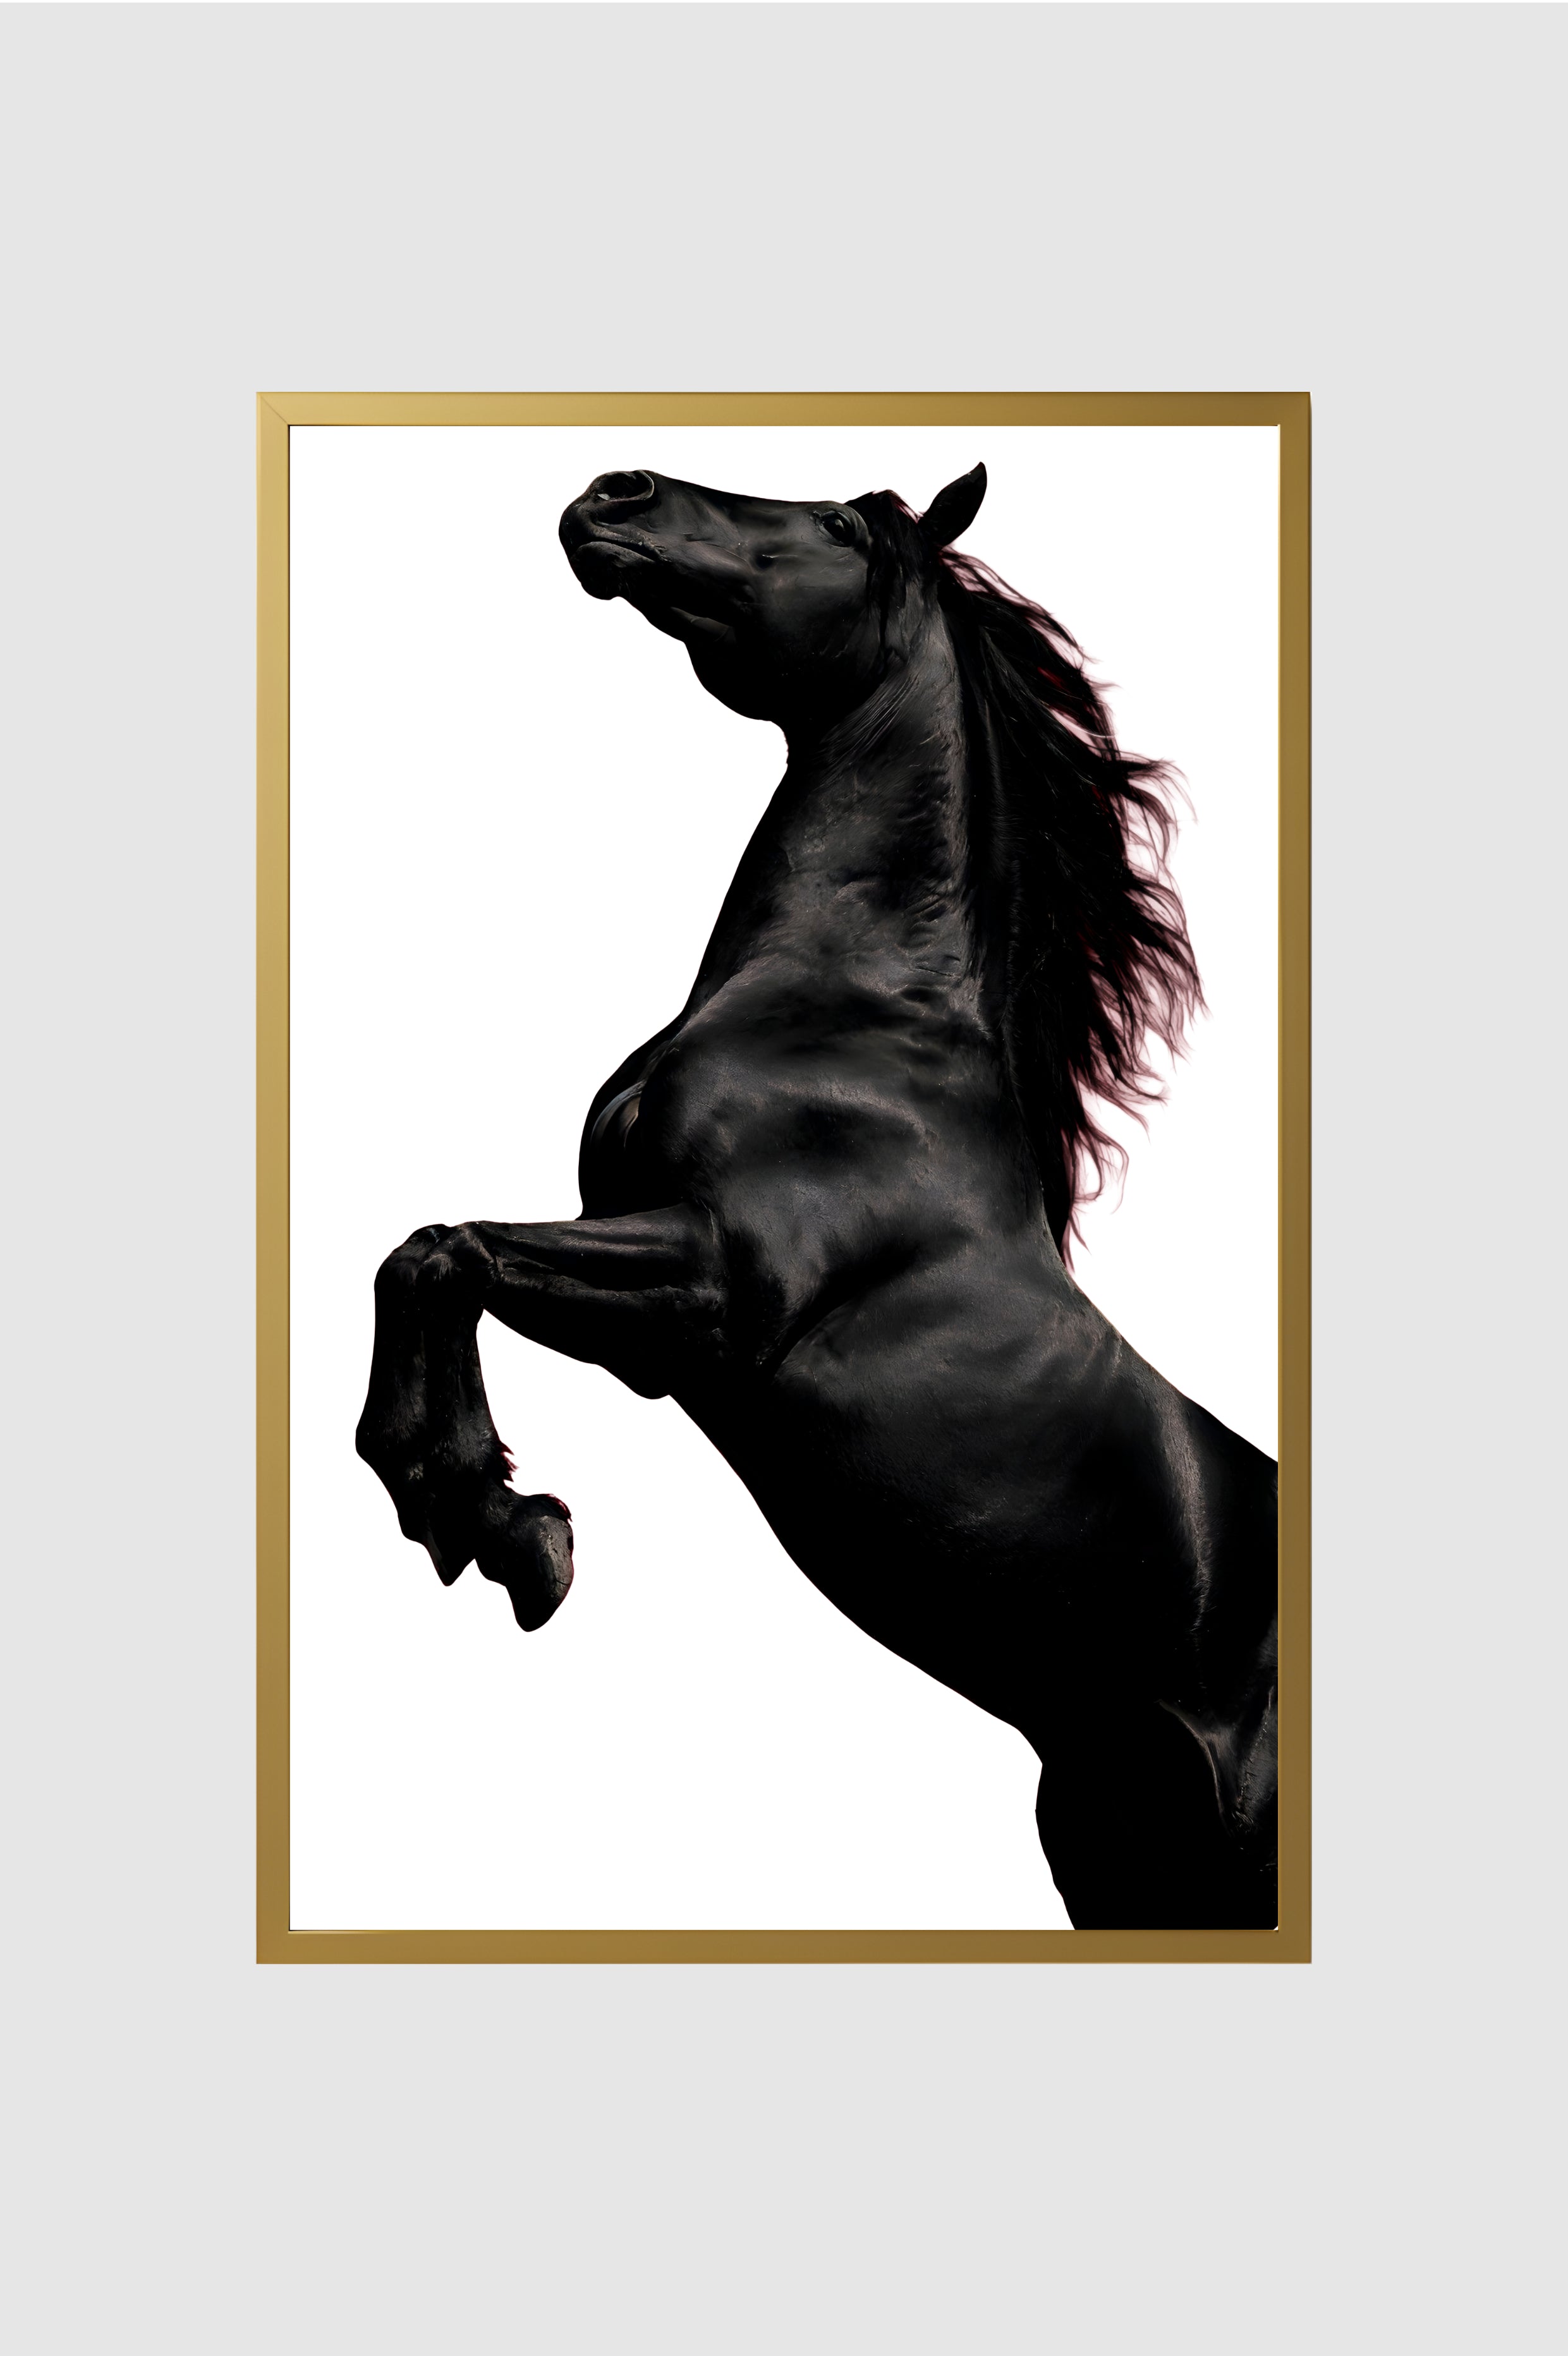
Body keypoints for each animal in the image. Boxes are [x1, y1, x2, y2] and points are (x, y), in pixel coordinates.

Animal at [356, 461, 1279, 1930]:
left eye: (841, 526)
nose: (612, 490)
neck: (847, 1016)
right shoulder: (644, 1322)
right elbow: (424, 1251)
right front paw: (477, 1513)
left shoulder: (714, 1292)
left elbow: (446, 1254)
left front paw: (505, 1528)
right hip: (1128, 1856)